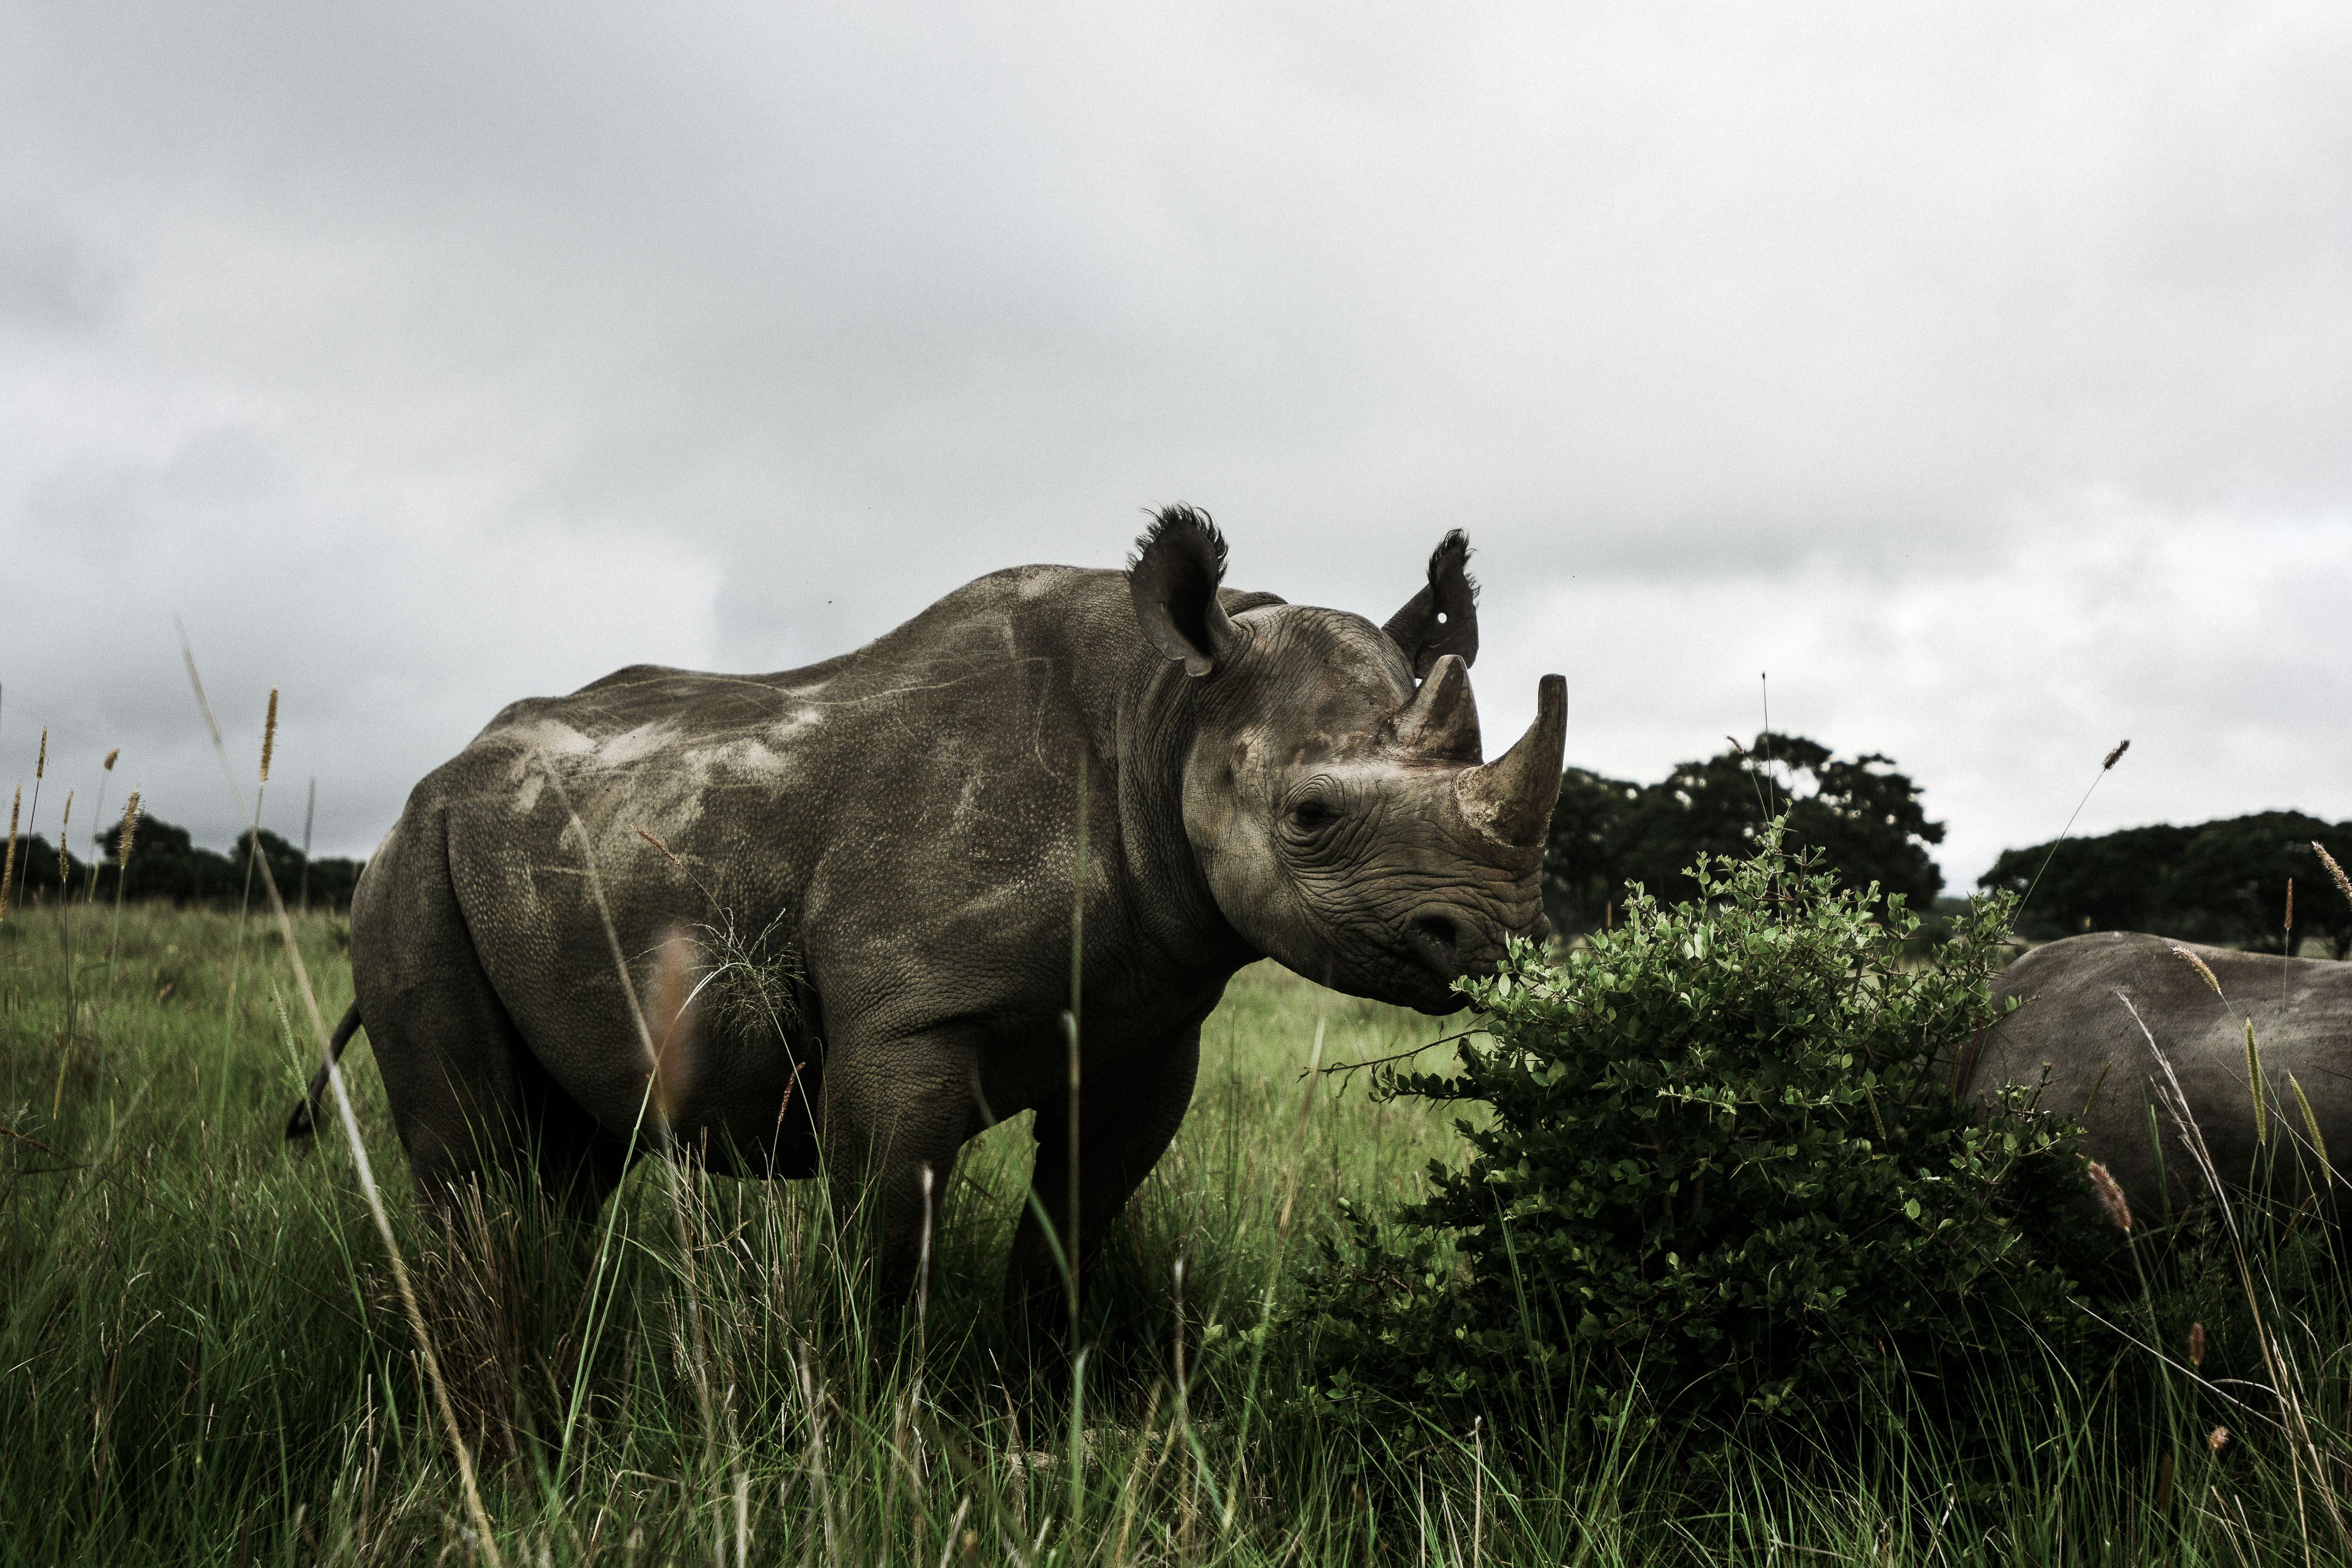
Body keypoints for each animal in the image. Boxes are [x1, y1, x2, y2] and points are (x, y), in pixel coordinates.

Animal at [289, 507, 1566, 1325]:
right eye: (1309, 814)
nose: (1489, 936)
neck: (1167, 711)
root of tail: (432, 780)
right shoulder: (909, 1019)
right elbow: (890, 1233)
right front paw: (876, 1419)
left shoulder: (1150, 1024)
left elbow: (1076, 1218)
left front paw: (1040, 1391)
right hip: (409, 870)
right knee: (475, 1150)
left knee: (569, 1147)